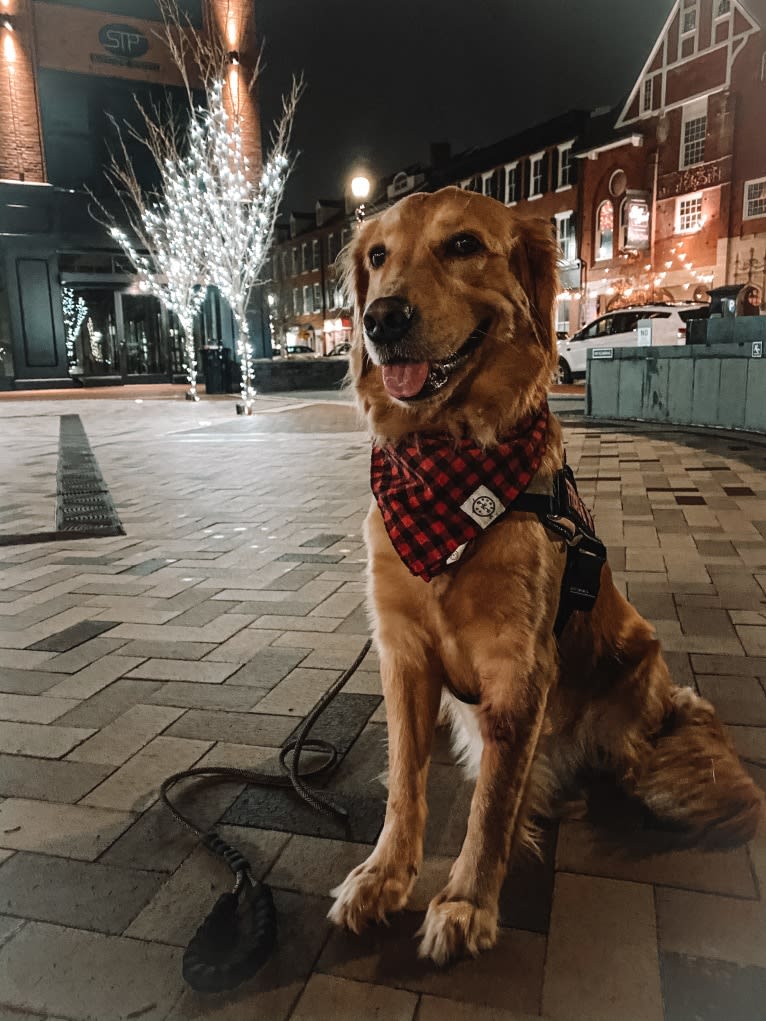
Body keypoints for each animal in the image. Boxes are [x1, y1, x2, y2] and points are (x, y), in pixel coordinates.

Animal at [326, 189, 763, 963]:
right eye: (376, 256)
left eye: (463, 245)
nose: (380, 318)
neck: (447, 472)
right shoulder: (402, 650)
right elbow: (405, 781)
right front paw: (383, 875)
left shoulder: (519, 665)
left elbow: (495, 803)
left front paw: (466, 902)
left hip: (637, 660)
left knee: (621, 756)